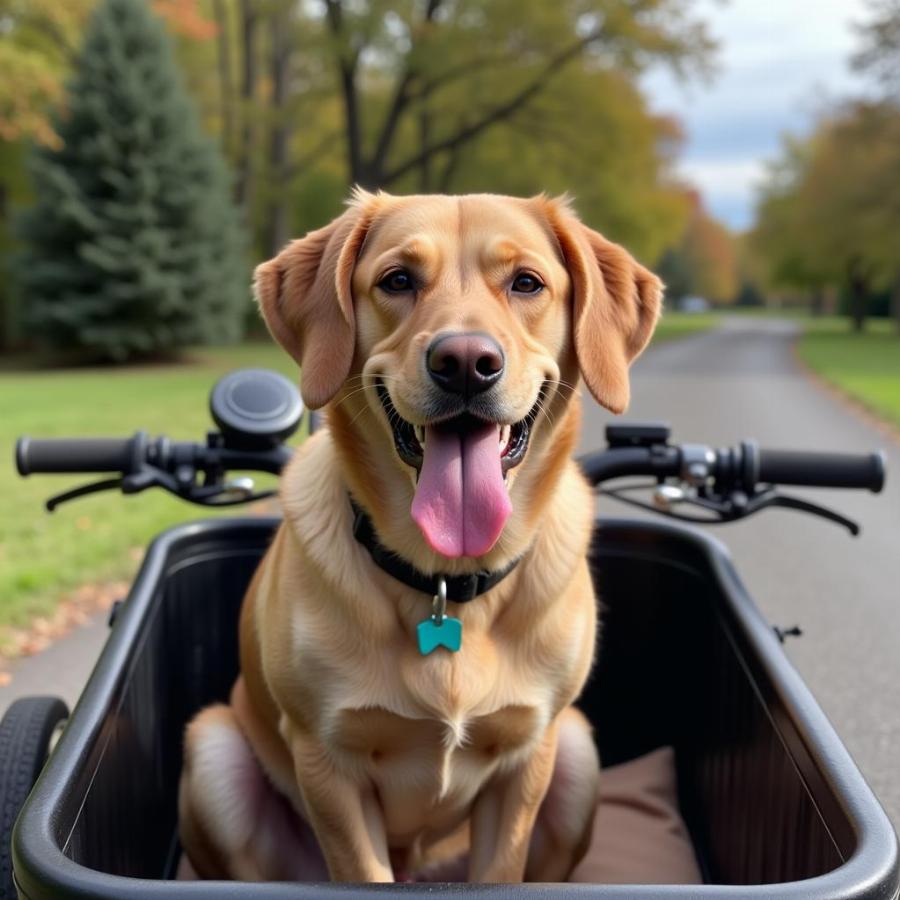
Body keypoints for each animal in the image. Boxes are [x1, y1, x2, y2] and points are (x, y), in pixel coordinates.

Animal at [176, 190, 660, 884]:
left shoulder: (527, 757)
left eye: (527, 282)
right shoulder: (328, 764)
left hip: (575, 748)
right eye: (398, 280)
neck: (445, 580)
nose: (466, 365)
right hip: (214, 745)